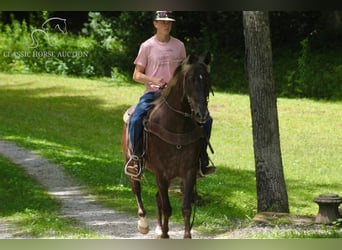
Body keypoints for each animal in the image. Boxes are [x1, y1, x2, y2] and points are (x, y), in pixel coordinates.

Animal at [120, 52, 211, 238]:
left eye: (207, 79)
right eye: (190, 79)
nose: (202, 114)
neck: (177, 126)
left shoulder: (189, 172)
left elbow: (185, 208)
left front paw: (185, 235)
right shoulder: (161, 173)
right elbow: (167, 208)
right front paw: (165, 235)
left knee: (157, 198)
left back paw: (158, 227)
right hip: (133, 166)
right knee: (137, 190)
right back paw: (144, 223)